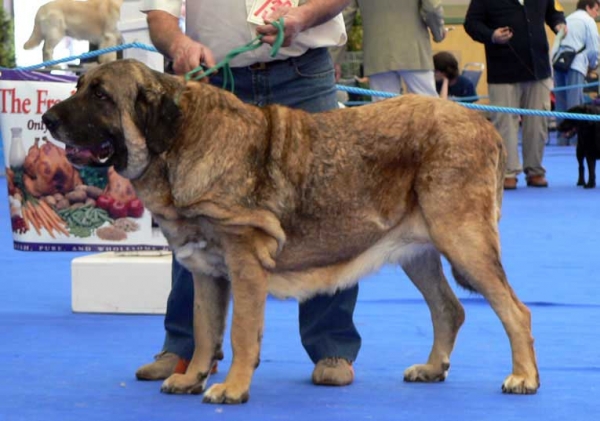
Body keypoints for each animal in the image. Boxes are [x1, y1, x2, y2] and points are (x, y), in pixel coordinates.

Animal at [42, 59, 540, 404]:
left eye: (101, 95)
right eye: (80, 87)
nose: (47, 119)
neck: (179, 141)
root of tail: (482, 123)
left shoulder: (245, 264)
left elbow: (241, 333)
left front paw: (232, 388)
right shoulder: (205, 271)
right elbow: (204, 330)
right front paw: (191, 377)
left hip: (462, 239)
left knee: (515, 311)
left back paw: (523, 377)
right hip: (418, 251)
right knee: (448, 309)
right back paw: (434, 368)